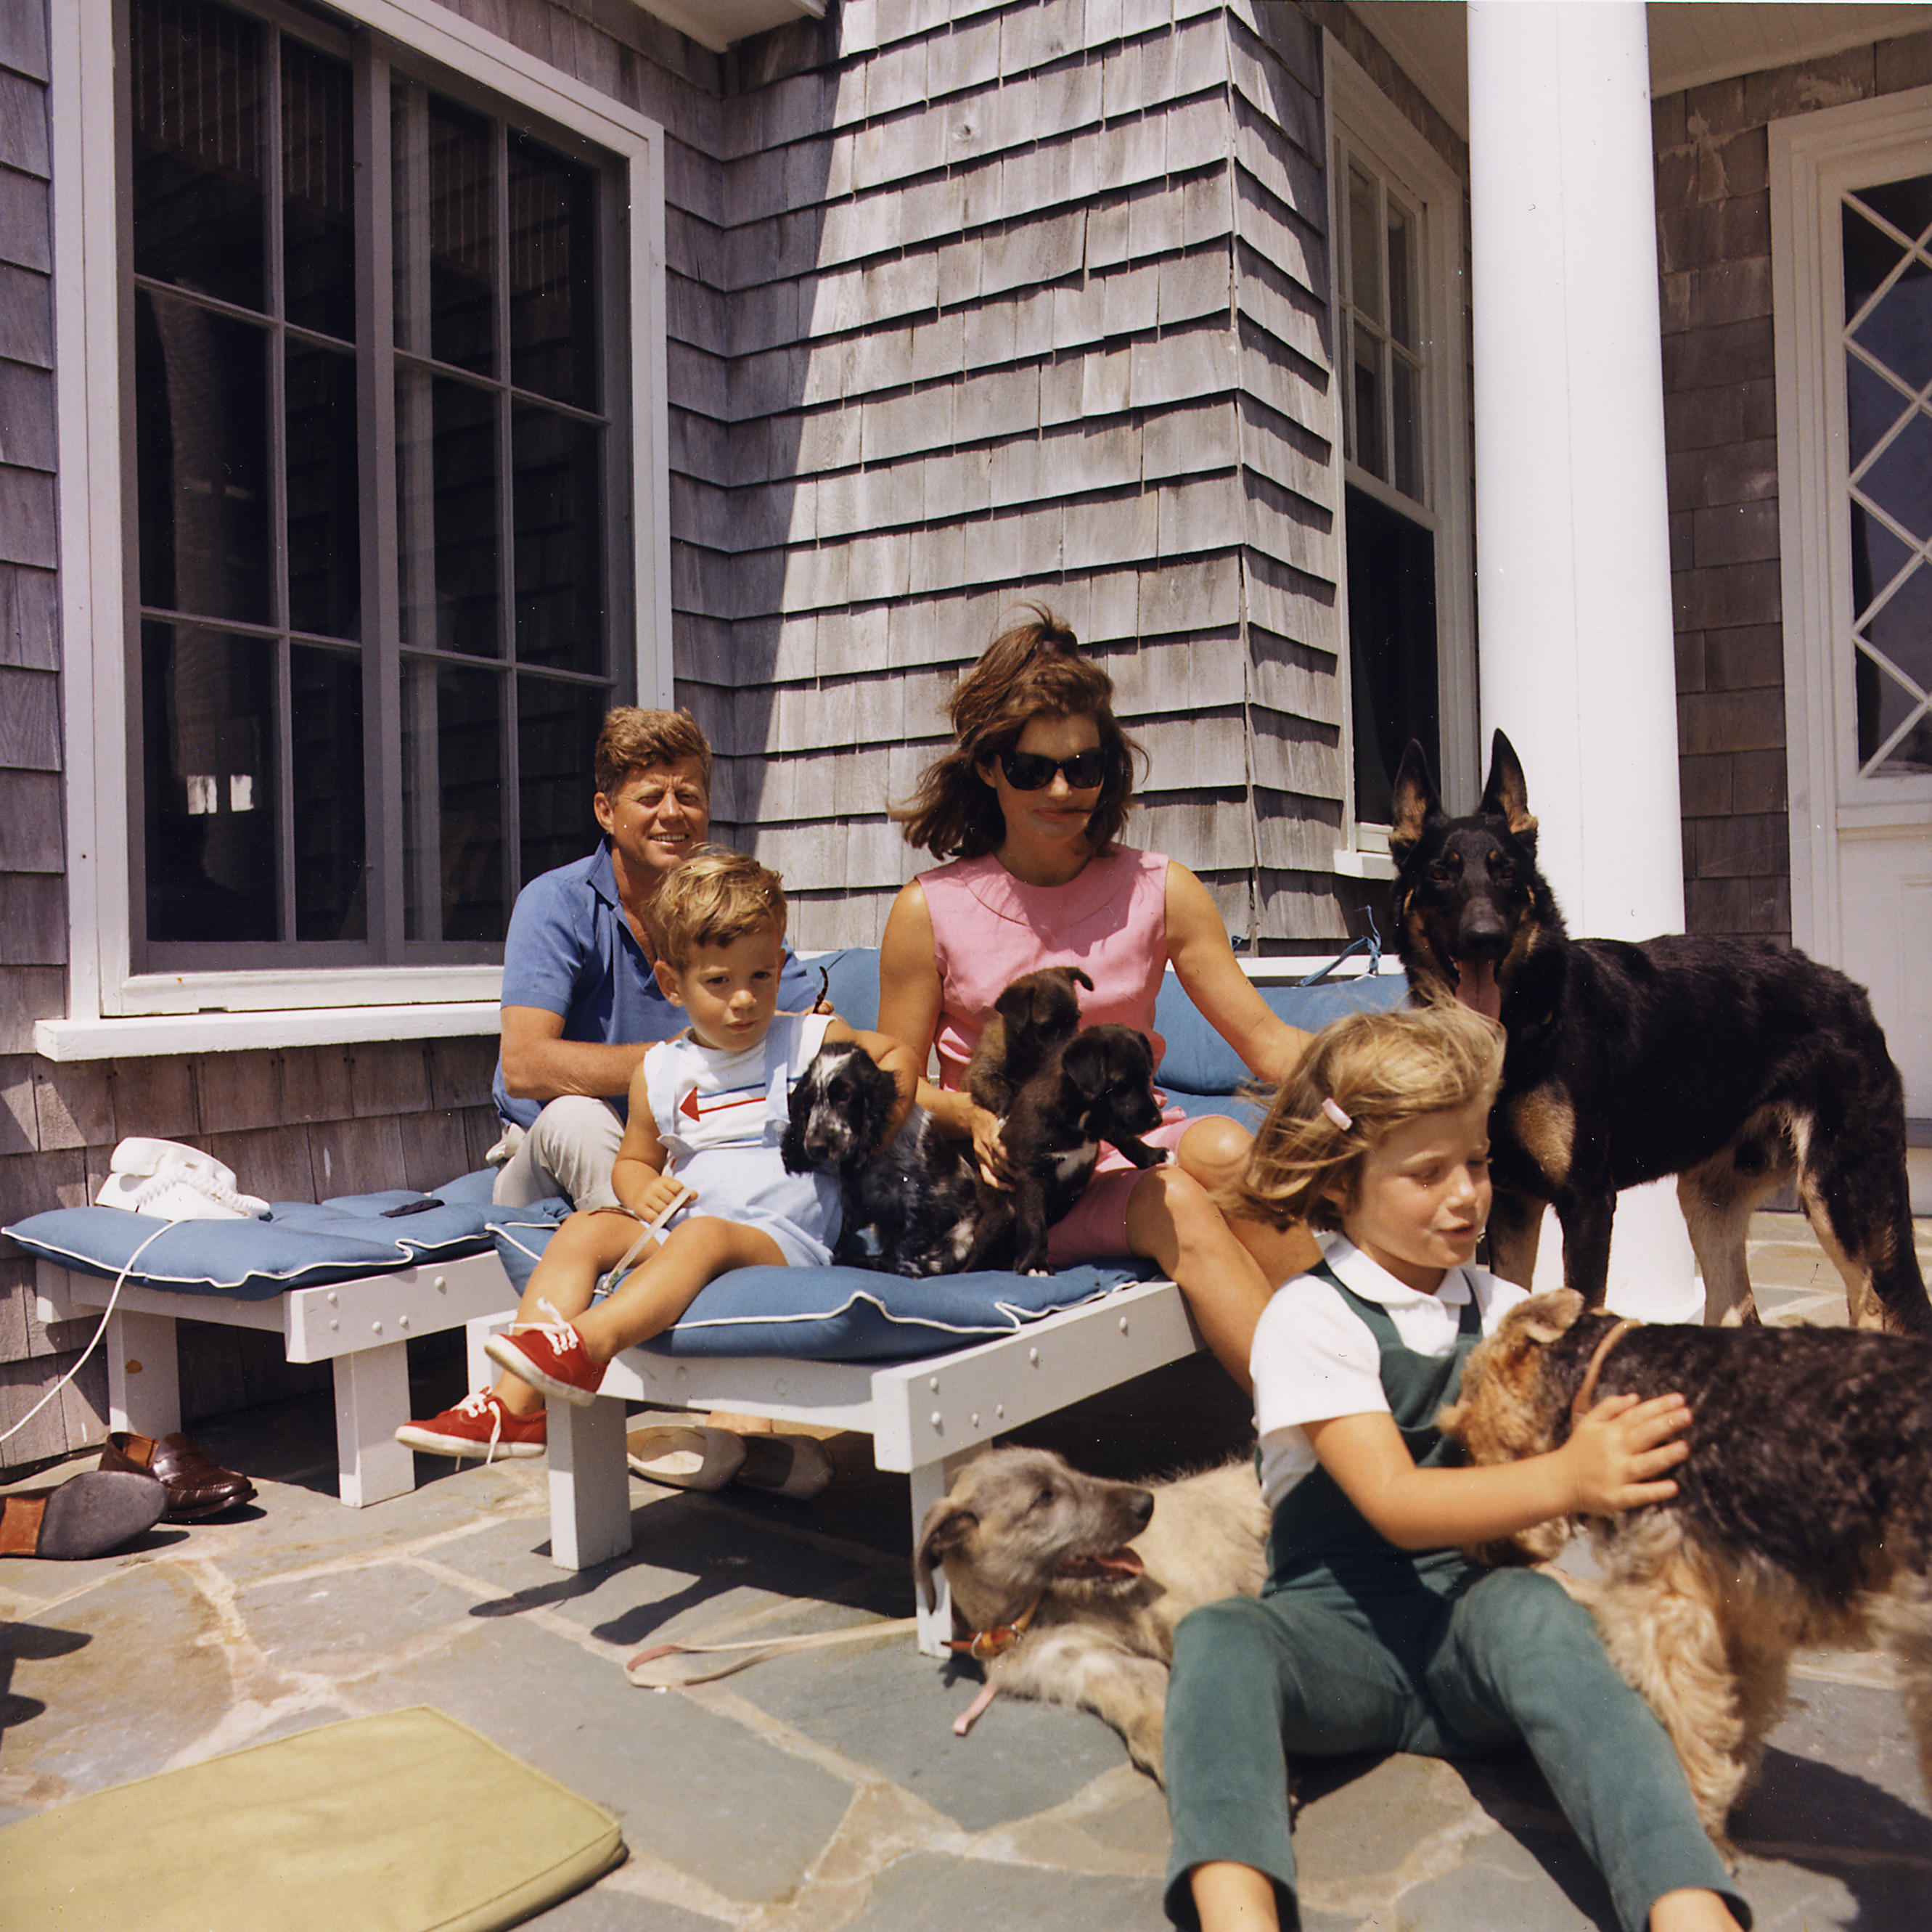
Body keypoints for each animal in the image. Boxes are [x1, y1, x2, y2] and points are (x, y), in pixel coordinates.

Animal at [777, 1043, 981, 1282]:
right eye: (808, 1101)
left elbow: (908, 1247)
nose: (815, 1146)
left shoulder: (919, 1196)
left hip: (961, 1235)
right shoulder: (852, 1199)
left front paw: (901, 1269)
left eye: (845, 1096)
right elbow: (841, 1234)